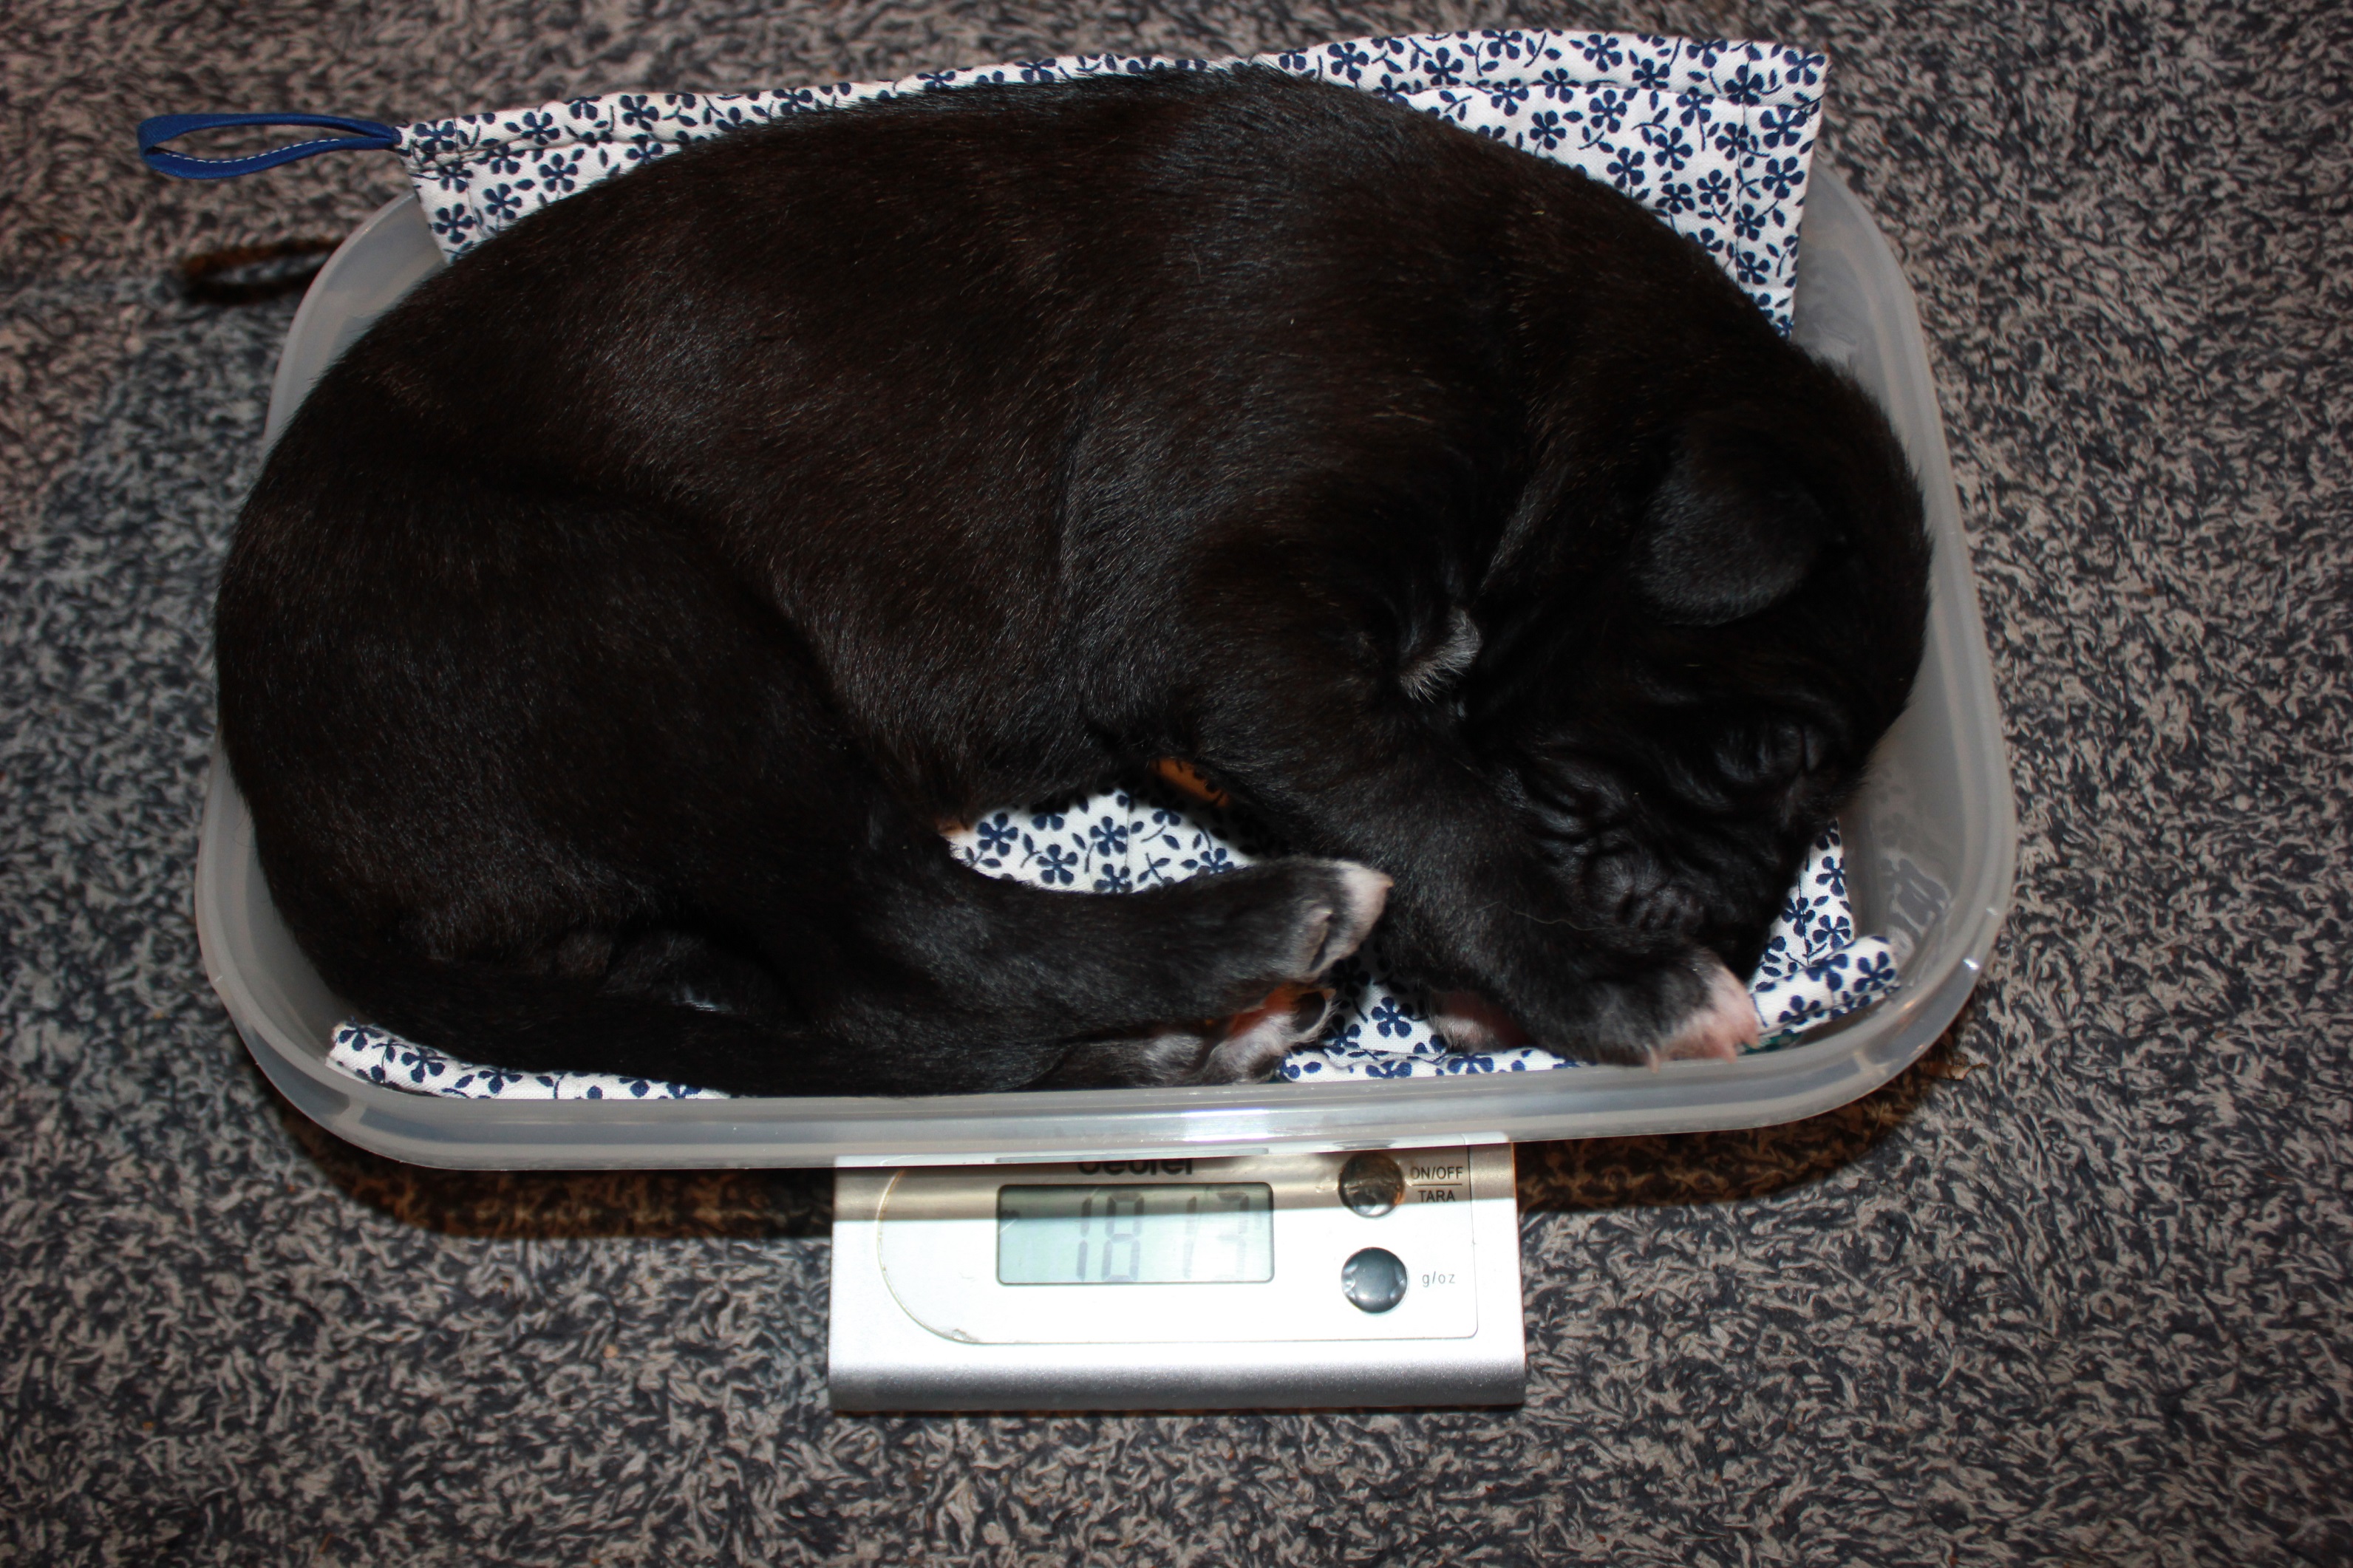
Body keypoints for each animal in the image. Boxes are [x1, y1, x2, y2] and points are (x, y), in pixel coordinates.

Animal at [216, 66, 1930, 1096]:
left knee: (841, 996)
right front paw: (1620, 982)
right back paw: (1246, 943)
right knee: (904, 939)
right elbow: (1426, 799)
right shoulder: (1220, 618)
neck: (1537, 345)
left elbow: (1397, 774)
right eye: (1783, 755)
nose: (1725, 936)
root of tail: (281, 826)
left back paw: (1178, 1037)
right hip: (641, 619)